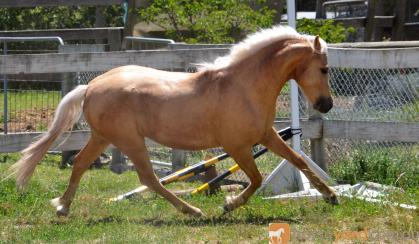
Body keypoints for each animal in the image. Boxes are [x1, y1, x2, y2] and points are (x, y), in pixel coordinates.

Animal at [9, 26, 338, 217]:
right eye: (324, 69)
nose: (326, 105)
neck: (243, 86)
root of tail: (90, 86)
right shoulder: (237, 146)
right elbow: (256, 179)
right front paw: (228, 205)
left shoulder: (266, 135)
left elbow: (299, 160)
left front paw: (331, 195)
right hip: (130, 141)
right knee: (148, 179)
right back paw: (193, 211)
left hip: (103, 137)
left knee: (79, 164)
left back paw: (62, 206)